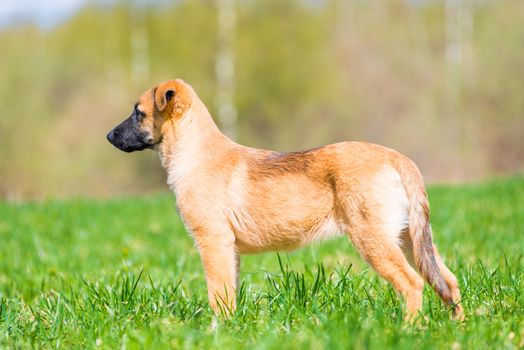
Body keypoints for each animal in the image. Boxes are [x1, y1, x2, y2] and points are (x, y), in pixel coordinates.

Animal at [106, 78, 462, 320]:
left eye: (138, 113)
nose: (109, 136)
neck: (195, 153)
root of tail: (398, 159)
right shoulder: (230, 250)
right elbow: (230, 292)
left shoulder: (213, 242)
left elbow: (217, 294)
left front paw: (217, 331)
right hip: (410, 240)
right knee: (448, 280)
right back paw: (456, 327)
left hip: (375, 240)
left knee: (412, 284)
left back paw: (409, 329)